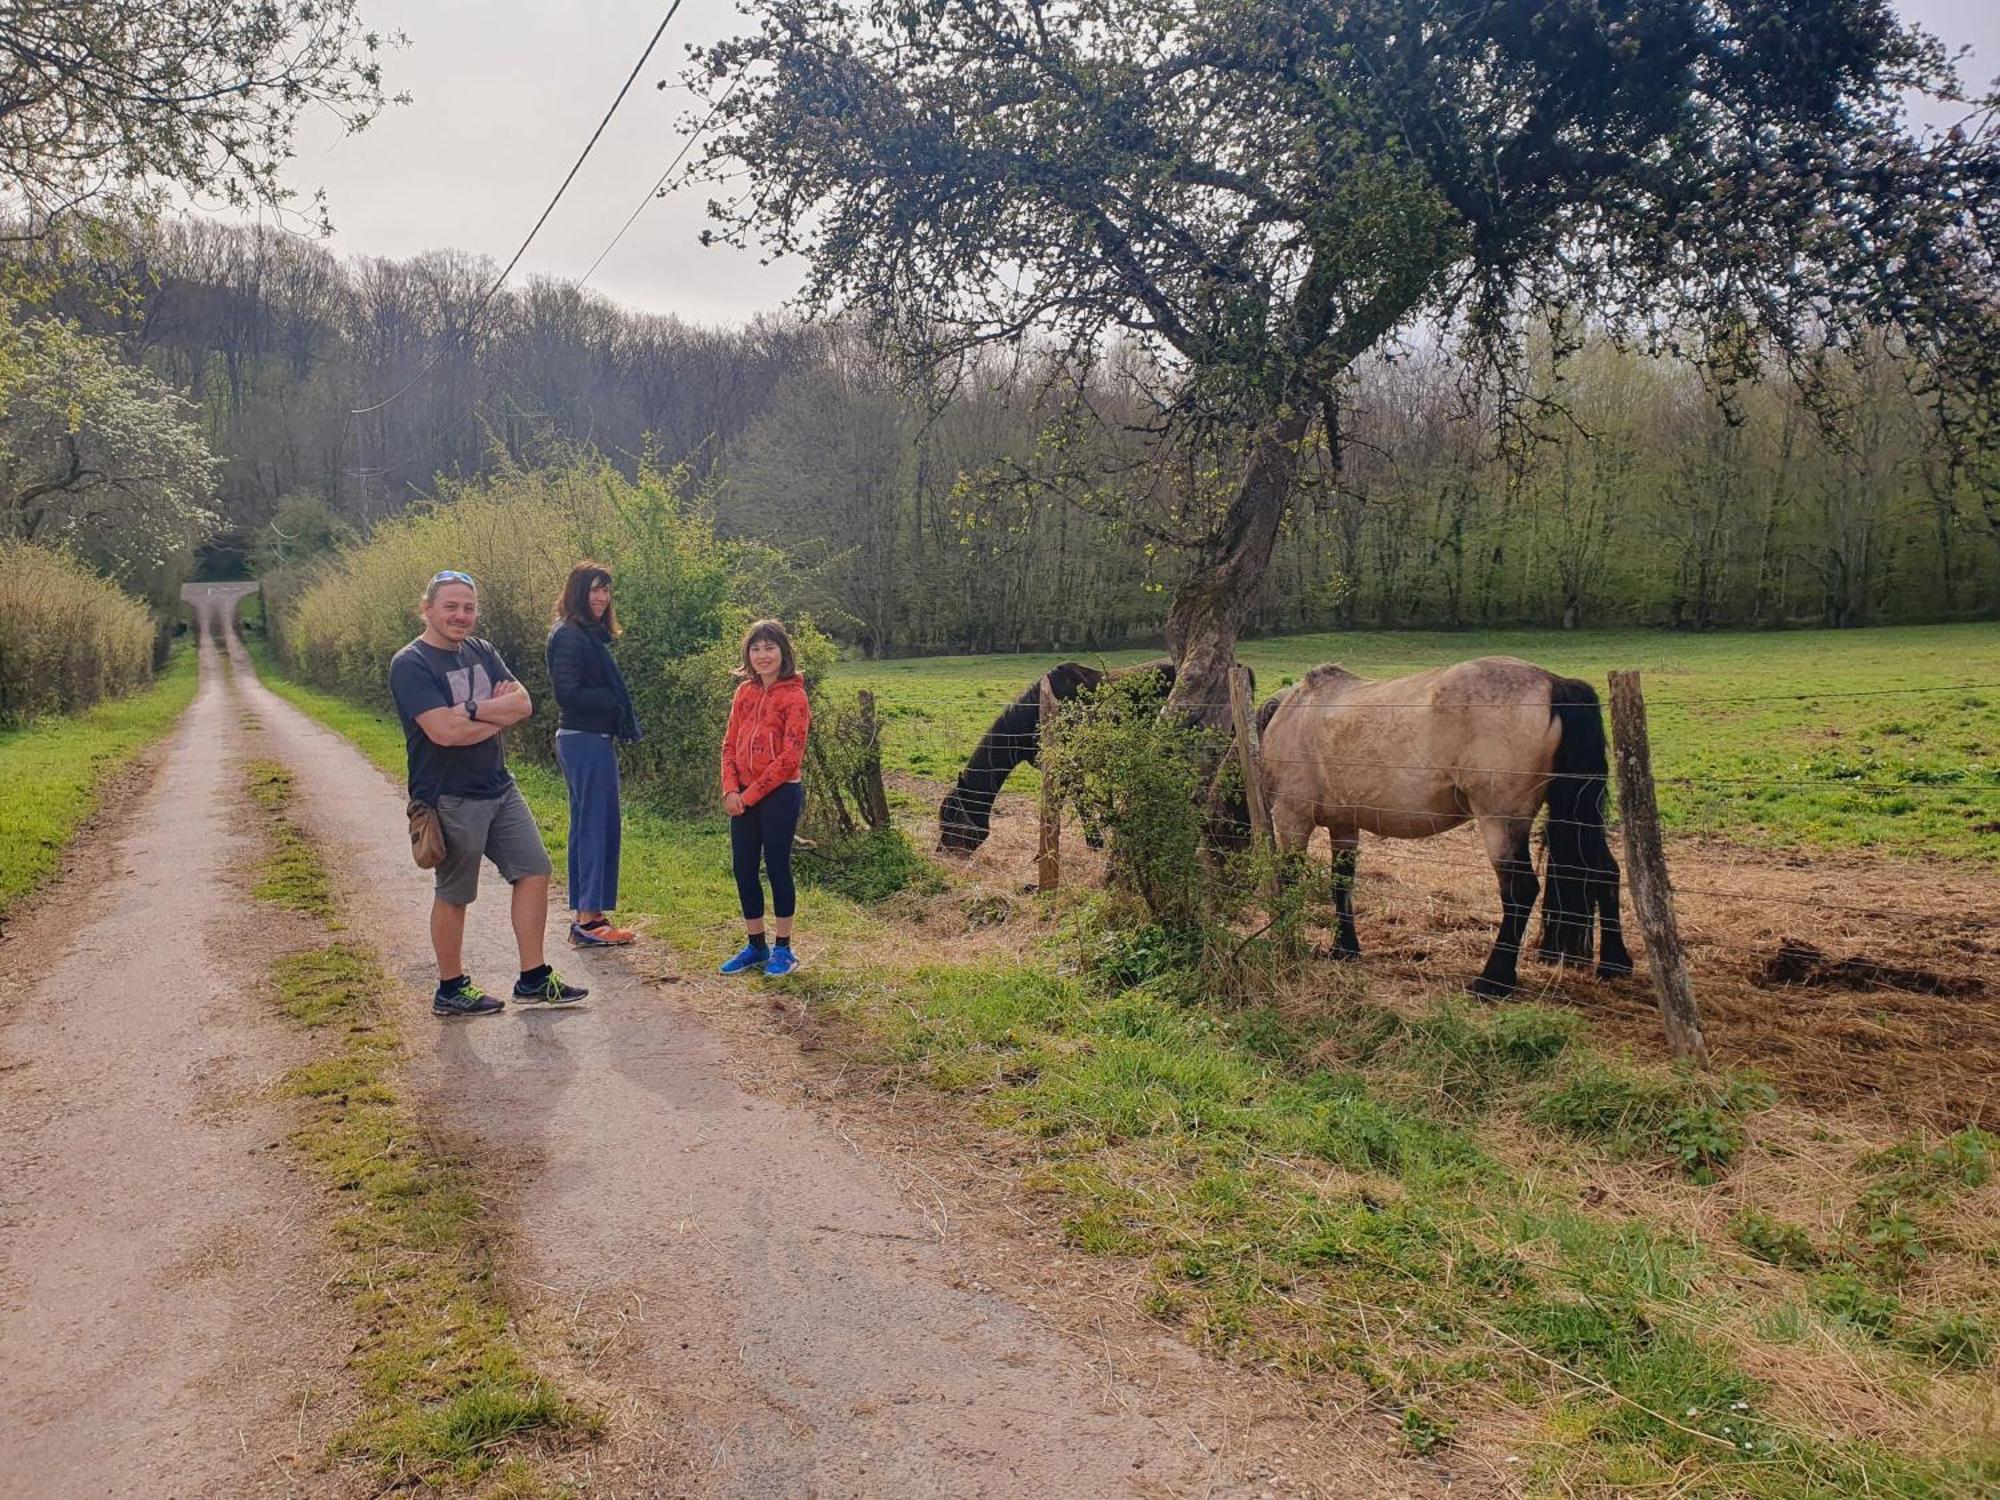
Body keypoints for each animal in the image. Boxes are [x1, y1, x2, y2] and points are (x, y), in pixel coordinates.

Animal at [936, 660, 1168, 856]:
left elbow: (1073, 802)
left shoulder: (1069, 764)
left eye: (951, 819)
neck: (1037, 714)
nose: (942, 852)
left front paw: (1092, 843)